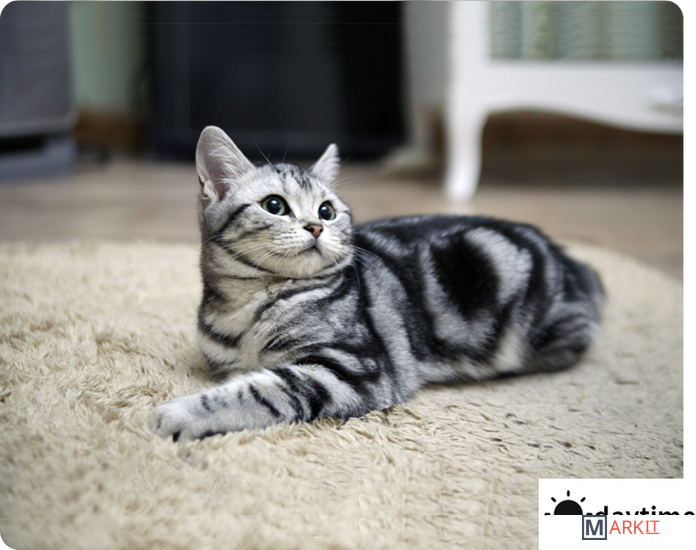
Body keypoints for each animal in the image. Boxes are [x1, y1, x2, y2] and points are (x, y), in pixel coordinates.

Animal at [153, 126, 604, 441]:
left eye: (327, 210)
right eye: (275, 206)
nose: (316, 226)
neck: (252, 304)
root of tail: (574, 263)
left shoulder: (353, 368)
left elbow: (262, 390)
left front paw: (181, 414)